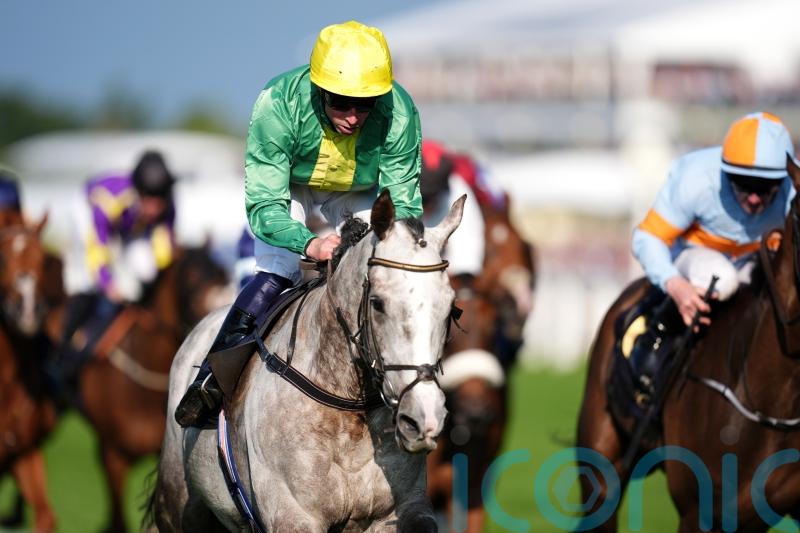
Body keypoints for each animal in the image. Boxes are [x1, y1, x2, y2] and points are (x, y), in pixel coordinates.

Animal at [150, 192, 463, 532]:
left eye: (451, 308)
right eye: (378, 303)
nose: (423, 417)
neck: (346, 405)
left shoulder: (399, 511)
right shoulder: (293, 516)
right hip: (180, 503)